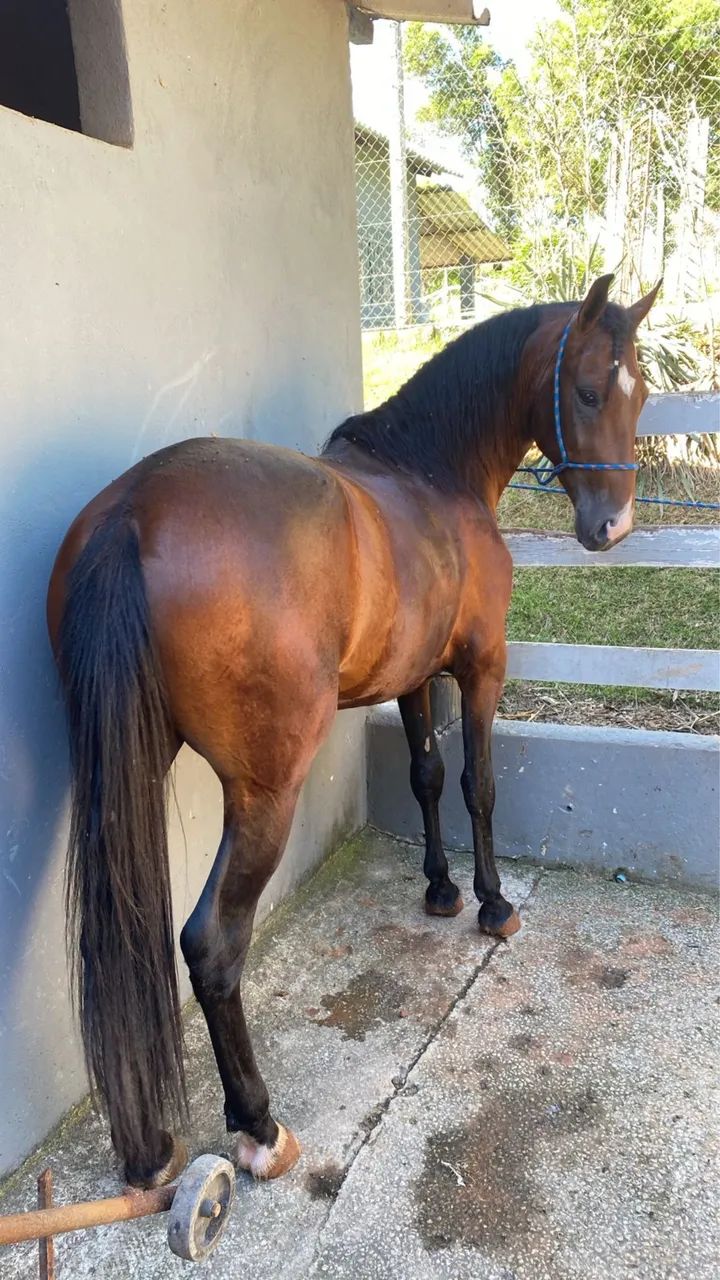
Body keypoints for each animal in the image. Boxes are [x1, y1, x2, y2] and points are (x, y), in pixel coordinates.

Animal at [46, 273, 659, 1190]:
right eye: (587, 390)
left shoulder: (410, 680)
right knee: (211, 945)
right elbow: (477, 783)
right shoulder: (481, 667)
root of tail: (133, 512)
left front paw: (440, 890)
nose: (610, 529)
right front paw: (491, 904)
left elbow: (426, 776)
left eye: (642, 392)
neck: (430, 472)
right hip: (265, 794)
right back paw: (258, 1125)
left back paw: (148, 1148)